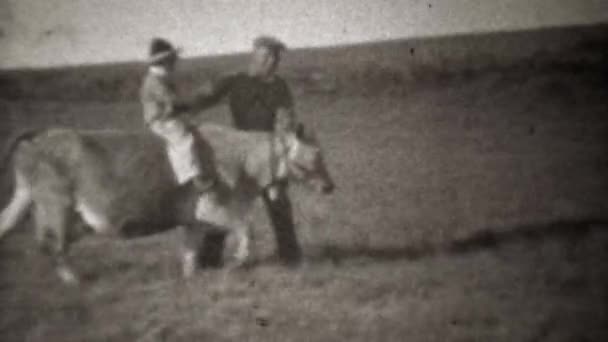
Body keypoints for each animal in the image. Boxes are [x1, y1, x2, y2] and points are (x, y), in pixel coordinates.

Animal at [0, 124, 332, 284]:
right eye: (316, 154)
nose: (330, 186)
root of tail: (42, 134)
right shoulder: (213, 207)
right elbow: (246, 228)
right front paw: (237, 262)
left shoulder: (195, 220)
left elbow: (190, 251)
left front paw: (191, 278)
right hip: (55, 206)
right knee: (53, 245)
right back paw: (74, 281)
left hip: (28, 199)